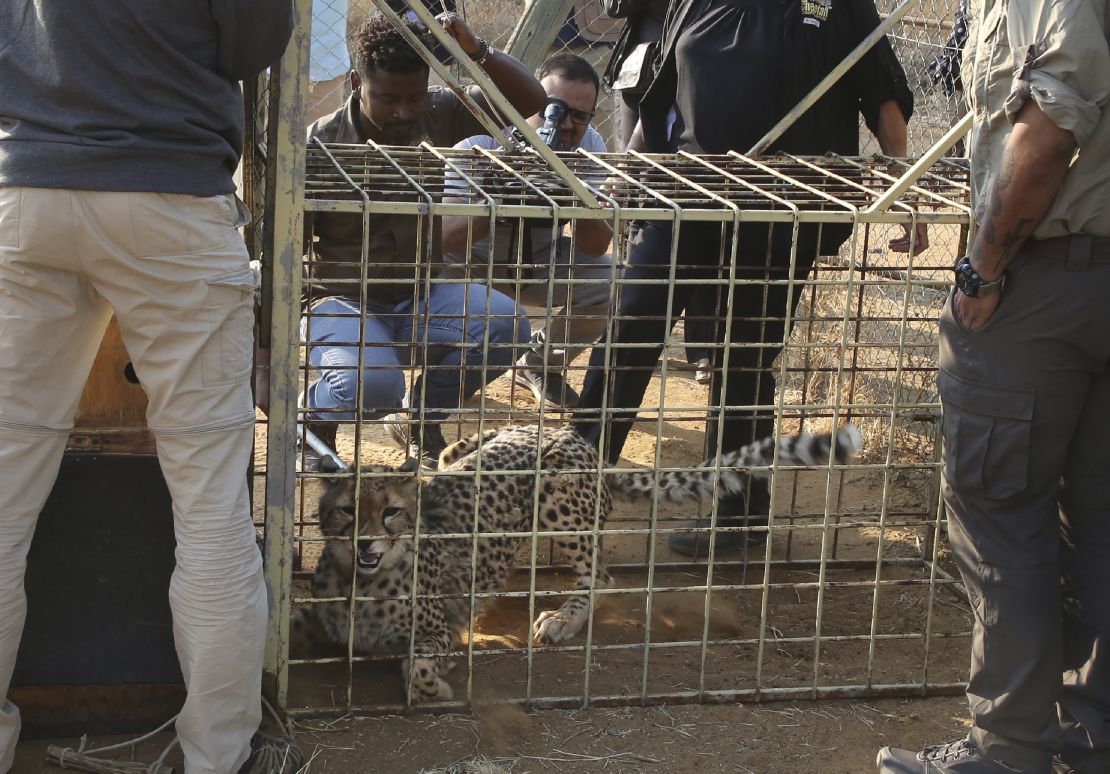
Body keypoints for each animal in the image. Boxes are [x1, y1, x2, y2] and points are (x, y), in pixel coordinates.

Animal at [293, 421, 856, 701]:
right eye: (347, 511)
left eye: (390, 512)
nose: (367, 544)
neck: (362, 581)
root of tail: (575, 437)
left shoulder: (441, 630)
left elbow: (420, 662)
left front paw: (435, 687)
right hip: (464, 452)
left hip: (556, 499)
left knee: (601, 575)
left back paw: (562, 619)